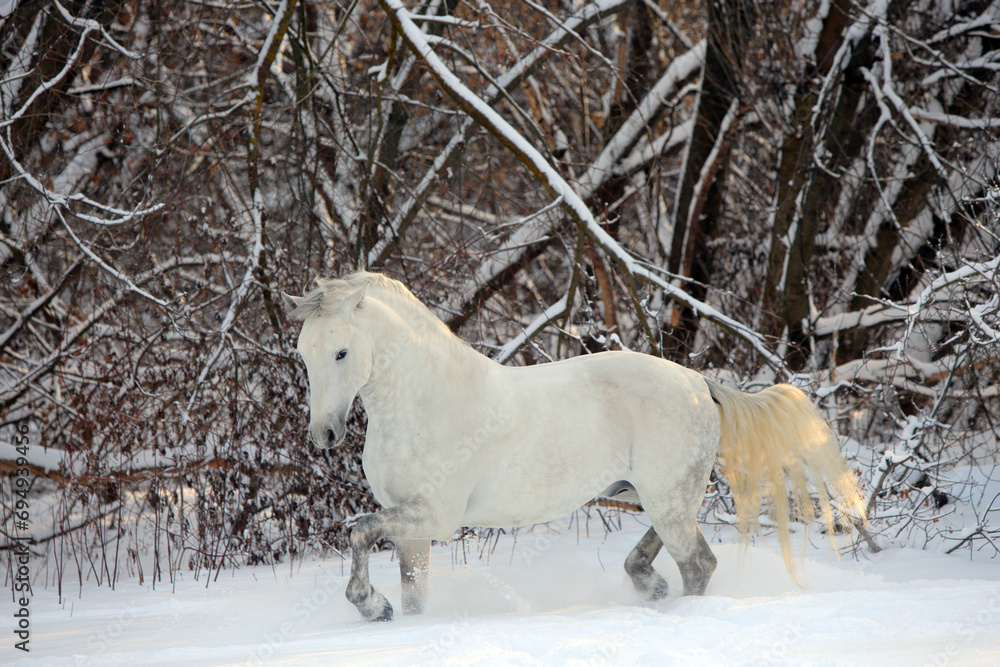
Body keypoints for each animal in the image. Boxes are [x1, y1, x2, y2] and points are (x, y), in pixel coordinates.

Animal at [281, 271, 866, 621]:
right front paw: (389, 613)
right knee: (669, 552)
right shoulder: (412, 530)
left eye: (341, 352)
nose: (324, 434)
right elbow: (411, 594)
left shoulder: (433, 518)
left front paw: (369, 605)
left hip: (667, 499)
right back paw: (648, 586)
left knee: (700, 564)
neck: (426, 402)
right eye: (304, 352)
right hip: (654, 495)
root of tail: (700, 384)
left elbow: (358, 532)